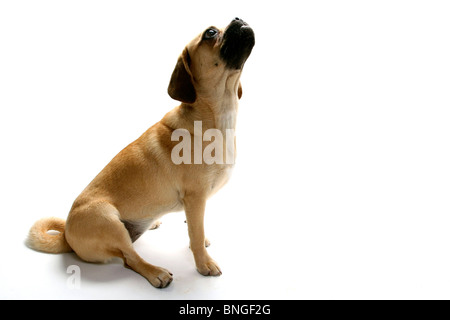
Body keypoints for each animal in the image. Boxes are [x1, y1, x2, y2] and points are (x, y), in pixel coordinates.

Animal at [26, 17, 255, 288]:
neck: (213, 117)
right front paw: (203, 264)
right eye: (210, 33)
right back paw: (156, 272)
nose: (238, 18)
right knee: (130, 259)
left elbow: (195, 231)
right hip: (107, 218)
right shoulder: (196, 198)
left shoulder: (197, 206)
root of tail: (67, 237)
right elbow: (196, 235)